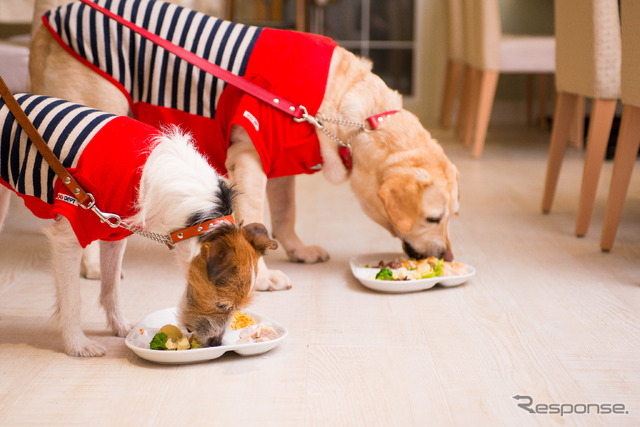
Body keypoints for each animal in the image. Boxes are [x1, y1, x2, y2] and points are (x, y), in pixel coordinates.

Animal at [1, 93, 278, 358]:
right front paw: (77, 345)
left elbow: (111, 287)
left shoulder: (114, 233)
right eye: (223, 305)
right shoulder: (68, 237)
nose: (215, 343)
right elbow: (72, 300)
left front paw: (121, 327)